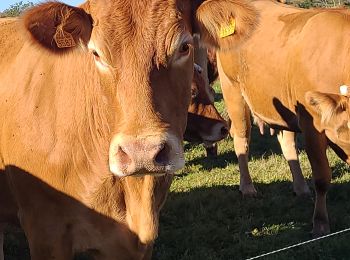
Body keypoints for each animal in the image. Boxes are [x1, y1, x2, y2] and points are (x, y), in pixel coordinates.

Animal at [217, 0, 350, 237]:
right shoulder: (311, 126)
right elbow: (322, 177)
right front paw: (320, 223)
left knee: (287, 144)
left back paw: (300, 188)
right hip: (232, 90)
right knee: (241, 139)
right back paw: (247, 187)